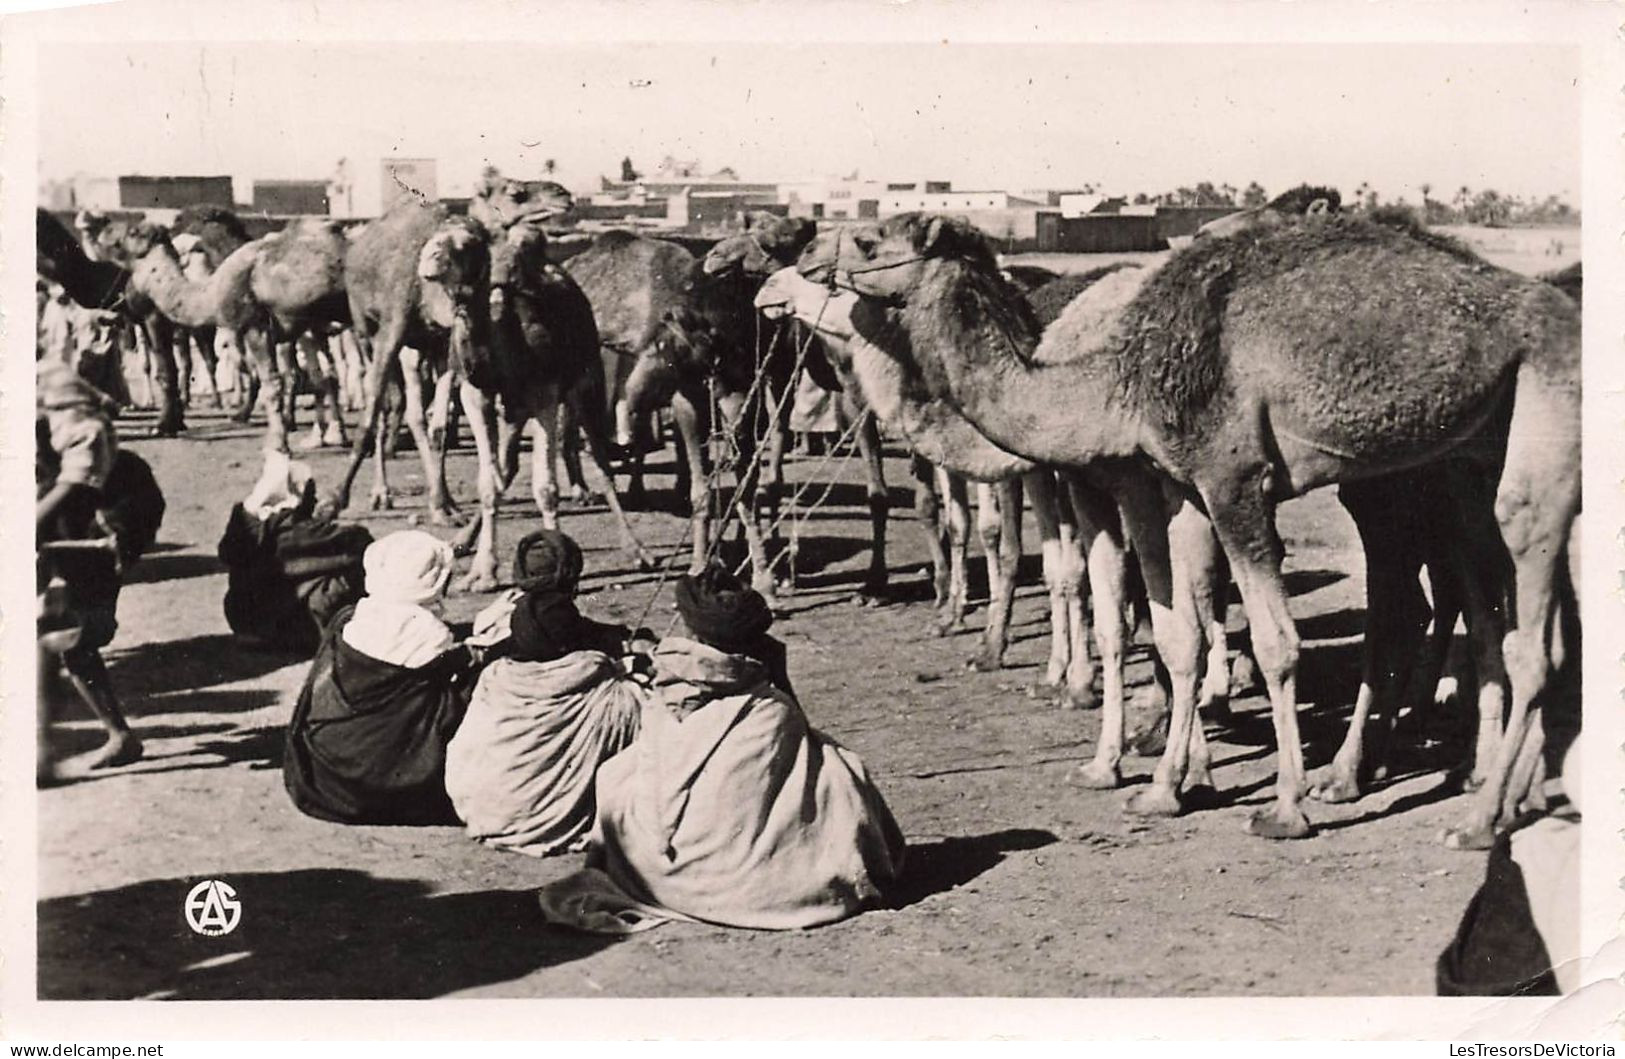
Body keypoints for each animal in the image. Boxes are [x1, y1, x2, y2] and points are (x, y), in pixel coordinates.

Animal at [806, 212, 1579, 844]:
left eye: (869, 239)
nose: (812, 255)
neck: (1115, 375)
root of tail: (1555, 300)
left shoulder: (1230, 477)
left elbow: (1274, 643)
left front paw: (1282, 808)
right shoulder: (1181, 486)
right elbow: (1182, 631)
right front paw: (1160, 789)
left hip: (1537, 404)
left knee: (1521, 617)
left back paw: (1477, 817)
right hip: (1456, 465)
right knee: (1485, 607)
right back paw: (1484, 788)